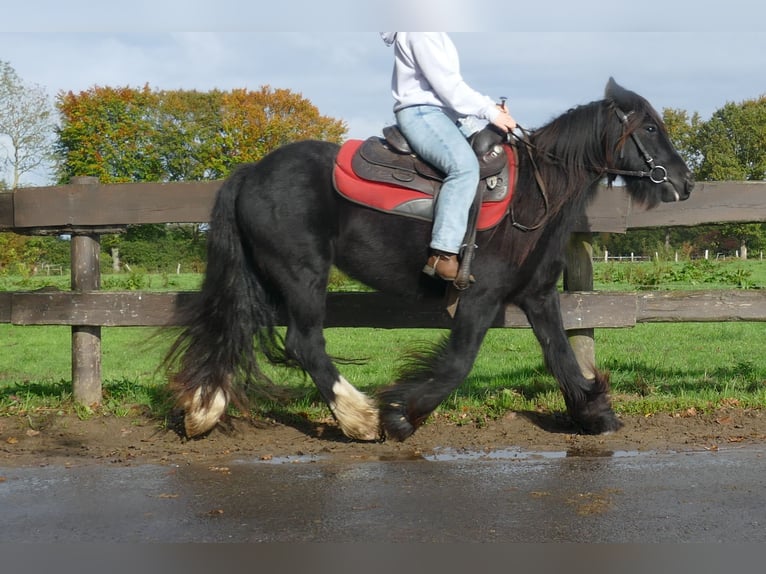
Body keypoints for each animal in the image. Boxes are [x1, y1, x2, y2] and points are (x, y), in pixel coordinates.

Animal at [163, 78, 694, 442]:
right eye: (650, 126)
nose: (684, 182)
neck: (533, 196)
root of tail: (251, 172)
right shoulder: (480, 297)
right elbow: (458, 362)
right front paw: (400, 414)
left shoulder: (538, 296)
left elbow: (560, 353)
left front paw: (593, 412)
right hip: (302, 275)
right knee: (304, 343)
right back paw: (360, 419)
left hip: (260, 277)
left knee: (235, 327)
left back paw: (204, 409)